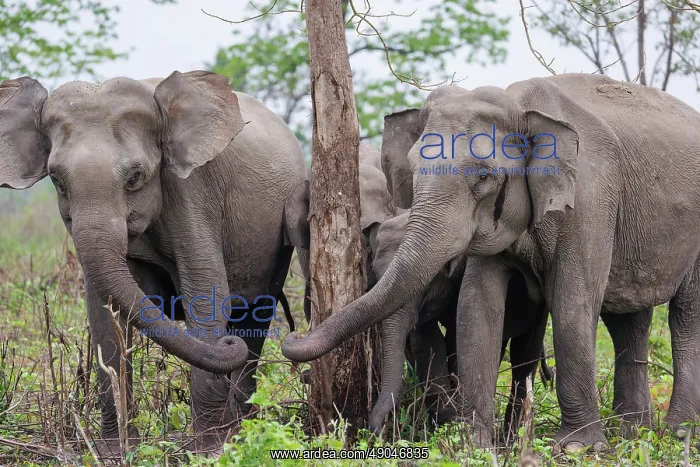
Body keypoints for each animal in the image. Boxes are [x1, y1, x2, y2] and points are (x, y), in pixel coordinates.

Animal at [0, 71, 309, 451]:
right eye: (56, 180)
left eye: (135, 178)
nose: (227, 345)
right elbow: (103, 310)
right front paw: (115, 450)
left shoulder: (192, 192)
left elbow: (206, 292)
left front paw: (208, 450)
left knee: (255, 316)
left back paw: (240, 426)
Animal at [281, 73, 700, 451]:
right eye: (414, 171)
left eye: (484, 175)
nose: (294, 335)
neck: (521, 105)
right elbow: (476, 307)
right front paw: (475, 446)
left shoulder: (590, 196)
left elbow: (573, 302)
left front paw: (577, 448)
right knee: (629, 319)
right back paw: (634, 434)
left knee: (685, 317)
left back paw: (677, 434)